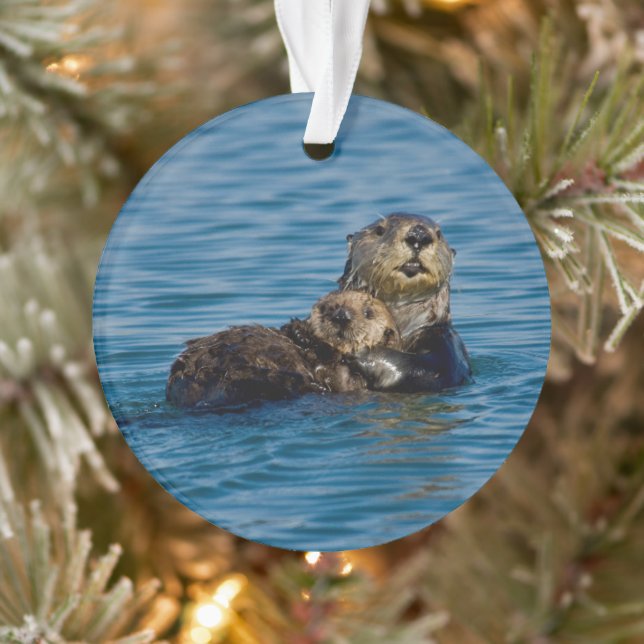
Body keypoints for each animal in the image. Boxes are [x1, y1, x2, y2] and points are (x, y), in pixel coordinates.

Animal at [166, 291, 401, 408]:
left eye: (368, 313)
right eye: (327, 308)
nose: (341, 315)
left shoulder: (351, 379)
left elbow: (338, 377)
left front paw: (303, 334)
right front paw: (296, 329)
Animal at [339, 212, 471, 392]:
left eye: (439, 234)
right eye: (379, 230)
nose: (419, 235)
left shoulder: (448, 344)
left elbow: (426, 370)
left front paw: (360, 351)